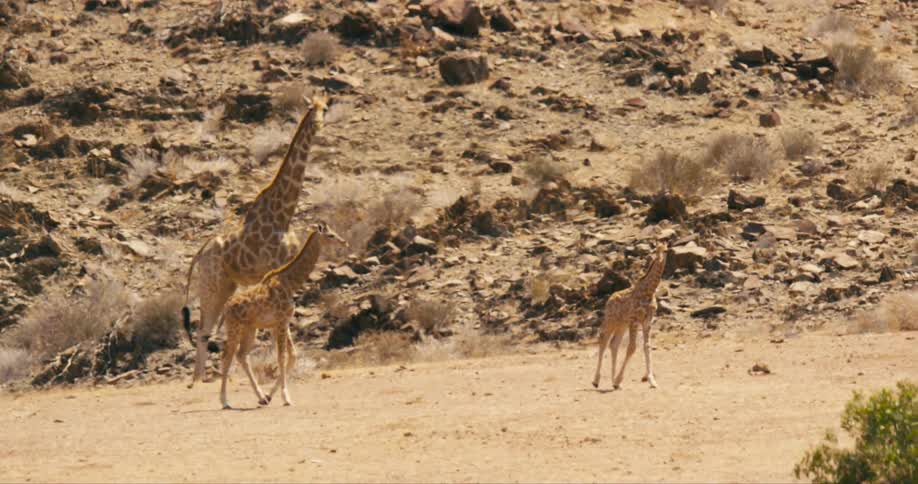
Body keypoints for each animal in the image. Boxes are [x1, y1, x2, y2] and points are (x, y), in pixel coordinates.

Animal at [182, 96, 328, 388]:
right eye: (311, 109)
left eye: (325, 109)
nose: (318, 124)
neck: (284, 213)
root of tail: (200, 254)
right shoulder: (274, 267)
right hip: (212, 284)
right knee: (203, 327)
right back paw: (199, 379)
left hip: (227, 285)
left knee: (206, 328)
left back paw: (203, 378)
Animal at [218, 222, 348, 409]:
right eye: (330, 235)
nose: (344, 242)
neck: (290, 284)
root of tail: (225, 308)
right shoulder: (280, 322)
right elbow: (282, 357)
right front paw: (286, 398)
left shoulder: (282, 322)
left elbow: (292, 356)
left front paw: (270, 396)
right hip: (235, 327)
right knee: (227, 356)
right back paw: (225, 401)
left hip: (251, 328)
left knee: (242, 355)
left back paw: (260, 397)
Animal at [592, 244, 667, 390]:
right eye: (656, 250)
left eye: (667, 250)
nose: (660, 258)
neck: (649, 291)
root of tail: (609, 299)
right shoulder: (634, 320)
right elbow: (632, 348)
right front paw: (618, 379)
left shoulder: (647, 321)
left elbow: (647, 347)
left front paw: (652, 381)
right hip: (611, 321)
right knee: (603, 341)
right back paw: (596, 381)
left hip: (622, 324)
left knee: (613, 344)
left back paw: (613, 382)